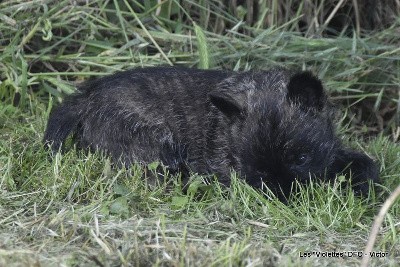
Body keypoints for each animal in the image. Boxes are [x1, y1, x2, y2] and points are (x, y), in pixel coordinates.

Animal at [43, 67, 378, 199]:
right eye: (250, 170)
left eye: (302, 159)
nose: (280, 196)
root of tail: (86, 98)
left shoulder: (334, 152)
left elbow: (366, 163)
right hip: (157, 148)